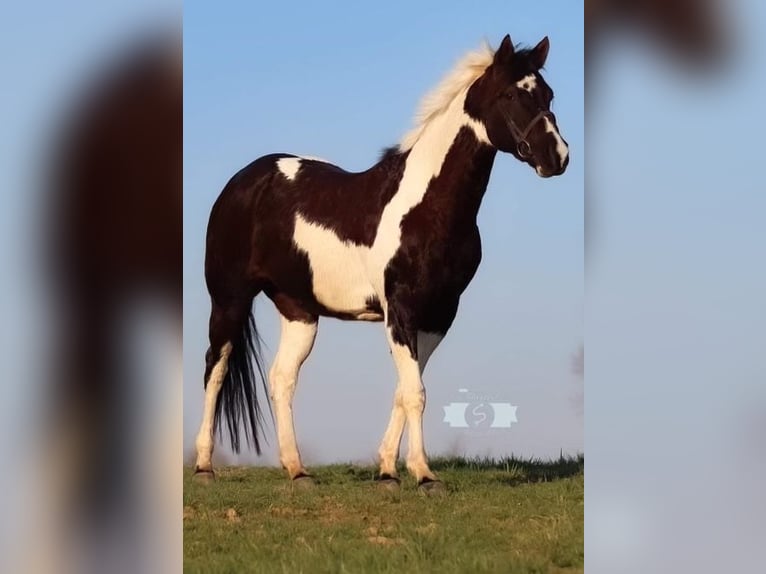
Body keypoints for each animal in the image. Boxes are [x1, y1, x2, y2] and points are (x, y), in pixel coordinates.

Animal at [193, 34, 570, 492]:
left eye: (548, 94)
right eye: (511, 94)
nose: (557, 157)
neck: (427, 207)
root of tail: (244, 181)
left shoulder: (438, 314)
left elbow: (407, 388)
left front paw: (388, 470)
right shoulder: (401, 308)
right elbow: (415, 393)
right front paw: (424, 475)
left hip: (299, 310)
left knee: (281, 378)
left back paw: (298, 470)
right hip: (229, 299)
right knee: (215, 368)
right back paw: (204, 466)